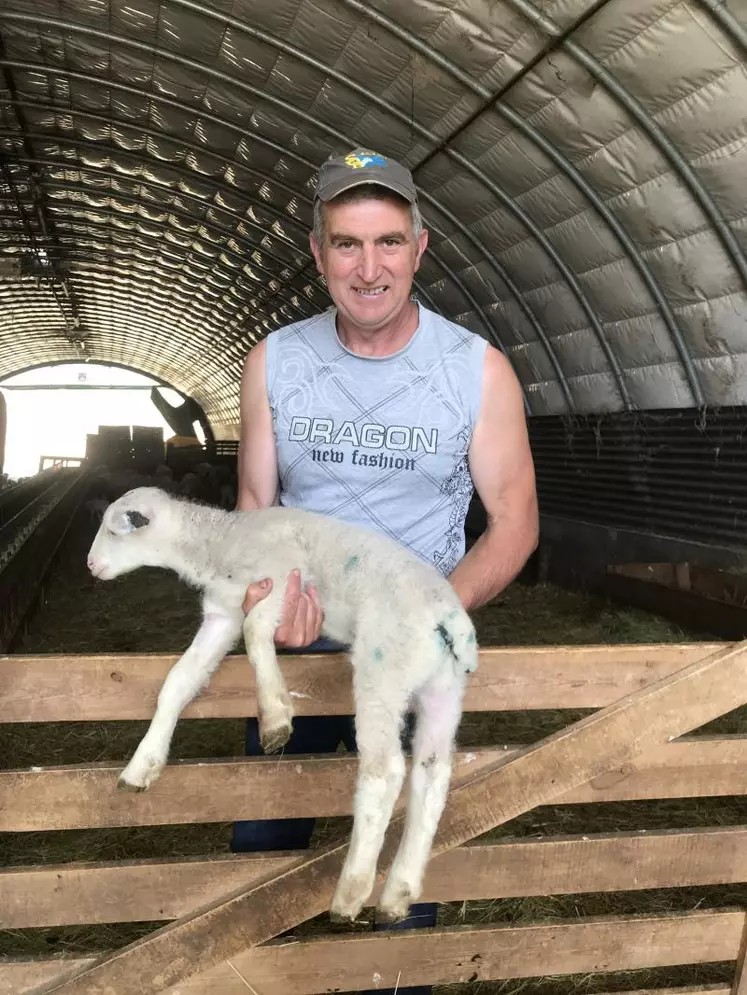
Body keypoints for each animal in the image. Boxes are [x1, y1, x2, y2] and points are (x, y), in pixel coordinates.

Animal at [87, 490, 480, 924]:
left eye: (114, 530)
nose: (90, 564)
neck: (220, 542)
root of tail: (450, 620)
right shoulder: (223, 614)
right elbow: (180, 681)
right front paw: (142, 764)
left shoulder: (278, 579)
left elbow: (256, 632)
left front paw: (275, 716)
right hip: (443, 688)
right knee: (432, 775)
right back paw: (398, 893)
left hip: (384, 667)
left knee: (385, 771)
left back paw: (351, 892)